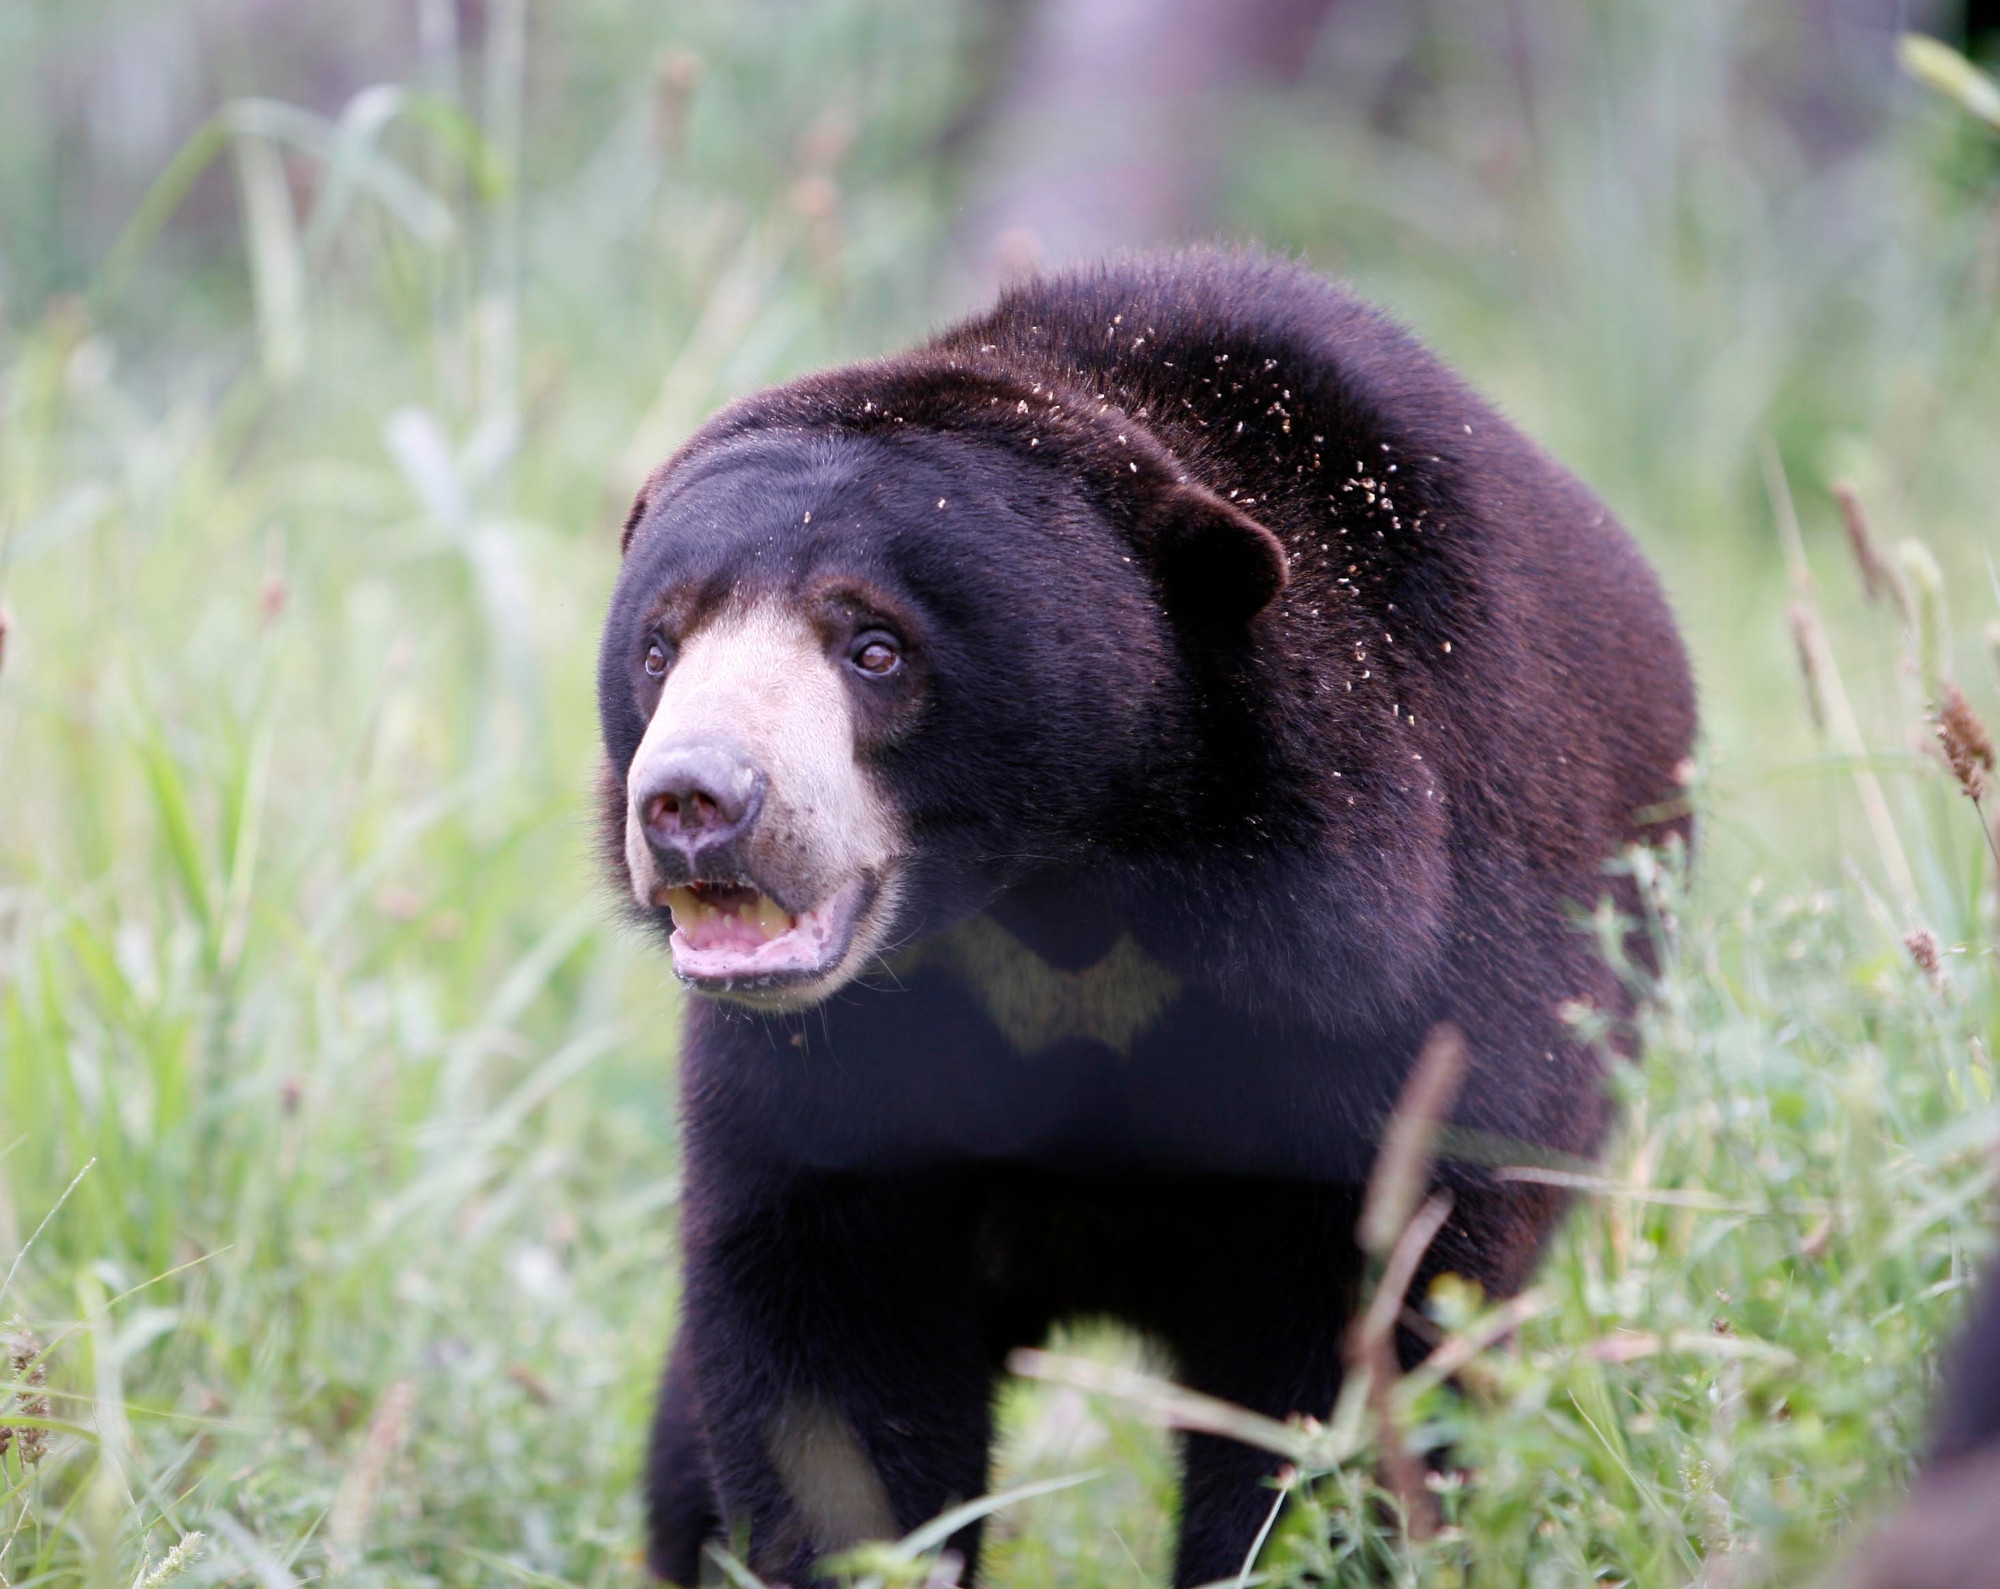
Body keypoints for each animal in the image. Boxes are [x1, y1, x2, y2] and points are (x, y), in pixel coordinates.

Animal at [600, 251, 1696, 1584]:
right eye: (661, 646)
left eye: (872, 646)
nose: (691, 802)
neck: (1065, 891)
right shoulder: (835, 1057)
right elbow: (827, 1333)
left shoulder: (1400, 965)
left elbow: (1362, 1321)